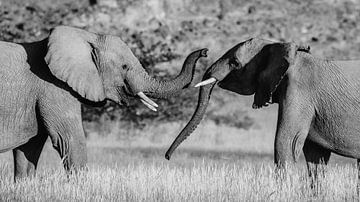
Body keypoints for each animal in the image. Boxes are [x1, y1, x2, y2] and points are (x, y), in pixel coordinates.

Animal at [0, 25, 208, 181]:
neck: (87, 36)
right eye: (124, 66)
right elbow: (69, 139)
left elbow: (30, 146)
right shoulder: (53, 87)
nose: (204, 52)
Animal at [165, 37, 360, 186]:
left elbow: (287, 141)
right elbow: (315, 155)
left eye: (235, 63)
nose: (167, 157)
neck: (279, 47)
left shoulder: (299, 91)